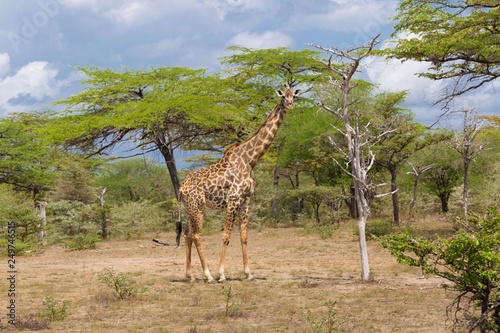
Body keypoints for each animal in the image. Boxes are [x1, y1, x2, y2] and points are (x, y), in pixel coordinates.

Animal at [176, 85, 300, 282]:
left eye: (294, 95)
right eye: (283, 97)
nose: (290, 105)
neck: (250, 161)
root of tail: (181, 188)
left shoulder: (246, 200)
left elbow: (244, 236)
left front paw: (248, 273)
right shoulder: (233, 200)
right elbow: (226, 236)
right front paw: (221, 274)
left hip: (191, 208)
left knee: (188, 235)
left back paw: (190, 276)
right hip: (199, 208)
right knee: (196, 235)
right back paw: (208, 275)